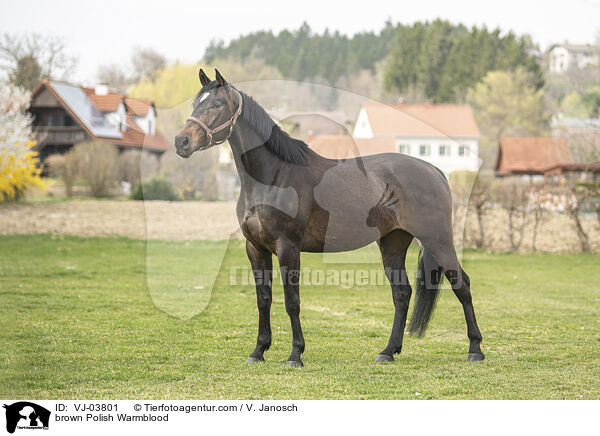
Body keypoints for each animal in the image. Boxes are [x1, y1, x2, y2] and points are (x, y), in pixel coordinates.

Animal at [173, 70, 482, 366]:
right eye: (195, 104)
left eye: (216, 104)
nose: (181, 141)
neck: (273, 177)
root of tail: (434, 171)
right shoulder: (256, 248)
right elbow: (263, 299)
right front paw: (258, 351)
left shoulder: (288, 247)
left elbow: (292, 302)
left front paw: (295, 355)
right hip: (393, 244)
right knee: (402, 294)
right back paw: (388, 351)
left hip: (438, 240)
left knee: (462, 284)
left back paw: (475, 349)